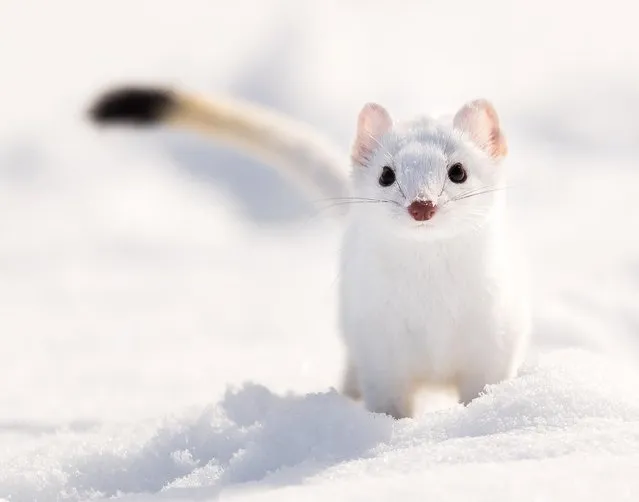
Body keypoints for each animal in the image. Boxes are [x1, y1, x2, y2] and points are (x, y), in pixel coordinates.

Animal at [89, 87, 528, 420]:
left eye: (458, 171)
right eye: (386, 174)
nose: (421, 206)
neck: (432, 307)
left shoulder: (493, 337)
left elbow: (483, 385)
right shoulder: (378, 345)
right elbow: (387, 398)